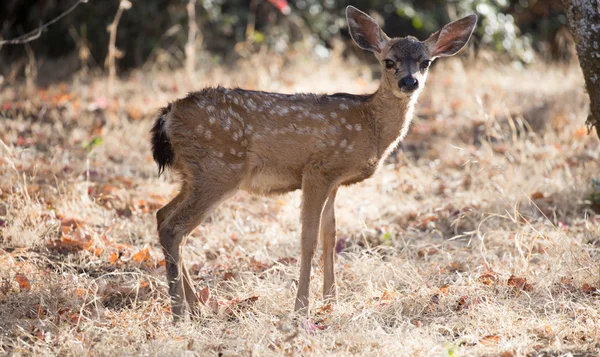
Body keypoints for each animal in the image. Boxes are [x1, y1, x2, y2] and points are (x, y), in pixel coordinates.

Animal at [151, 5, 478, 318]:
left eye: (425, 62)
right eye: (388, 61)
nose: (409, 82)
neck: (369, 126)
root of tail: (168, 115)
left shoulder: (334, 181)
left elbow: (330, 235)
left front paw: (331, 299)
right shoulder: (318, 170)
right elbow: (308, 238)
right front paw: (302, 307)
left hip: (194, 175)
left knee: (163, 216)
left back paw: (198, 307)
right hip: (219, 169)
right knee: (175, 228)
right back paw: (180, 313)